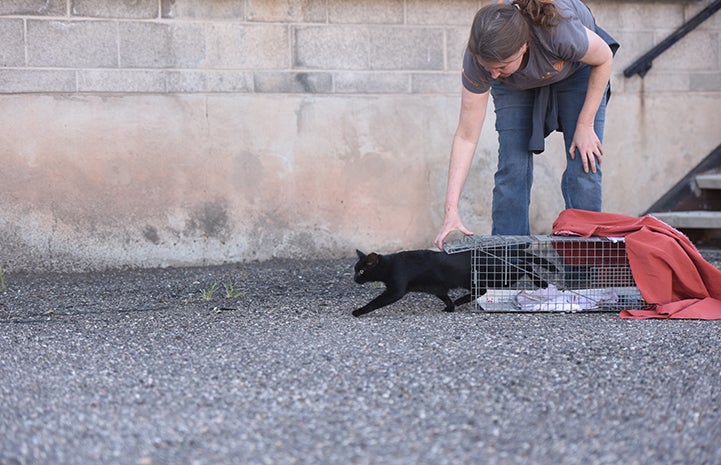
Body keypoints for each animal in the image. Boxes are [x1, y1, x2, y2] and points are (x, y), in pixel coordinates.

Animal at [352, 245, 556, 318]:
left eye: (361, 270)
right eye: (355, 270)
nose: (354, 278)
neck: (390, 263)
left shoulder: (396, 289)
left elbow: (375, 302)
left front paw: (358, 311)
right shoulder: (437, 288)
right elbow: (445, 297)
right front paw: (449, 307)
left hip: (498, 277)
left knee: (525, 264)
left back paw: (542, 282)